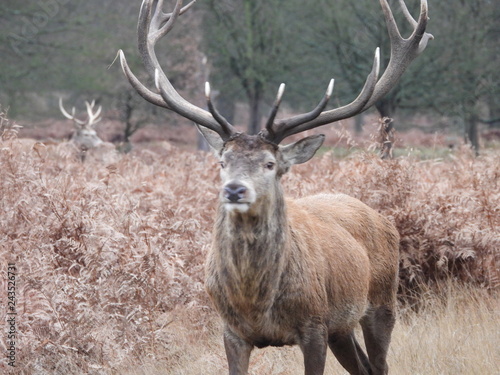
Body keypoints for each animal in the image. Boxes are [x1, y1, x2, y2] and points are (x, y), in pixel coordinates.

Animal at [119, 1, 432, 374]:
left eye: (270, 164)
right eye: (223, 161)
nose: (235, 190)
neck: (255, 302)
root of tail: (385, 220)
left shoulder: (314, 325)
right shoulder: (232, 331)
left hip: (382, 301)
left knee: (380, 364)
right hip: (341, 327)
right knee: (363, 367)